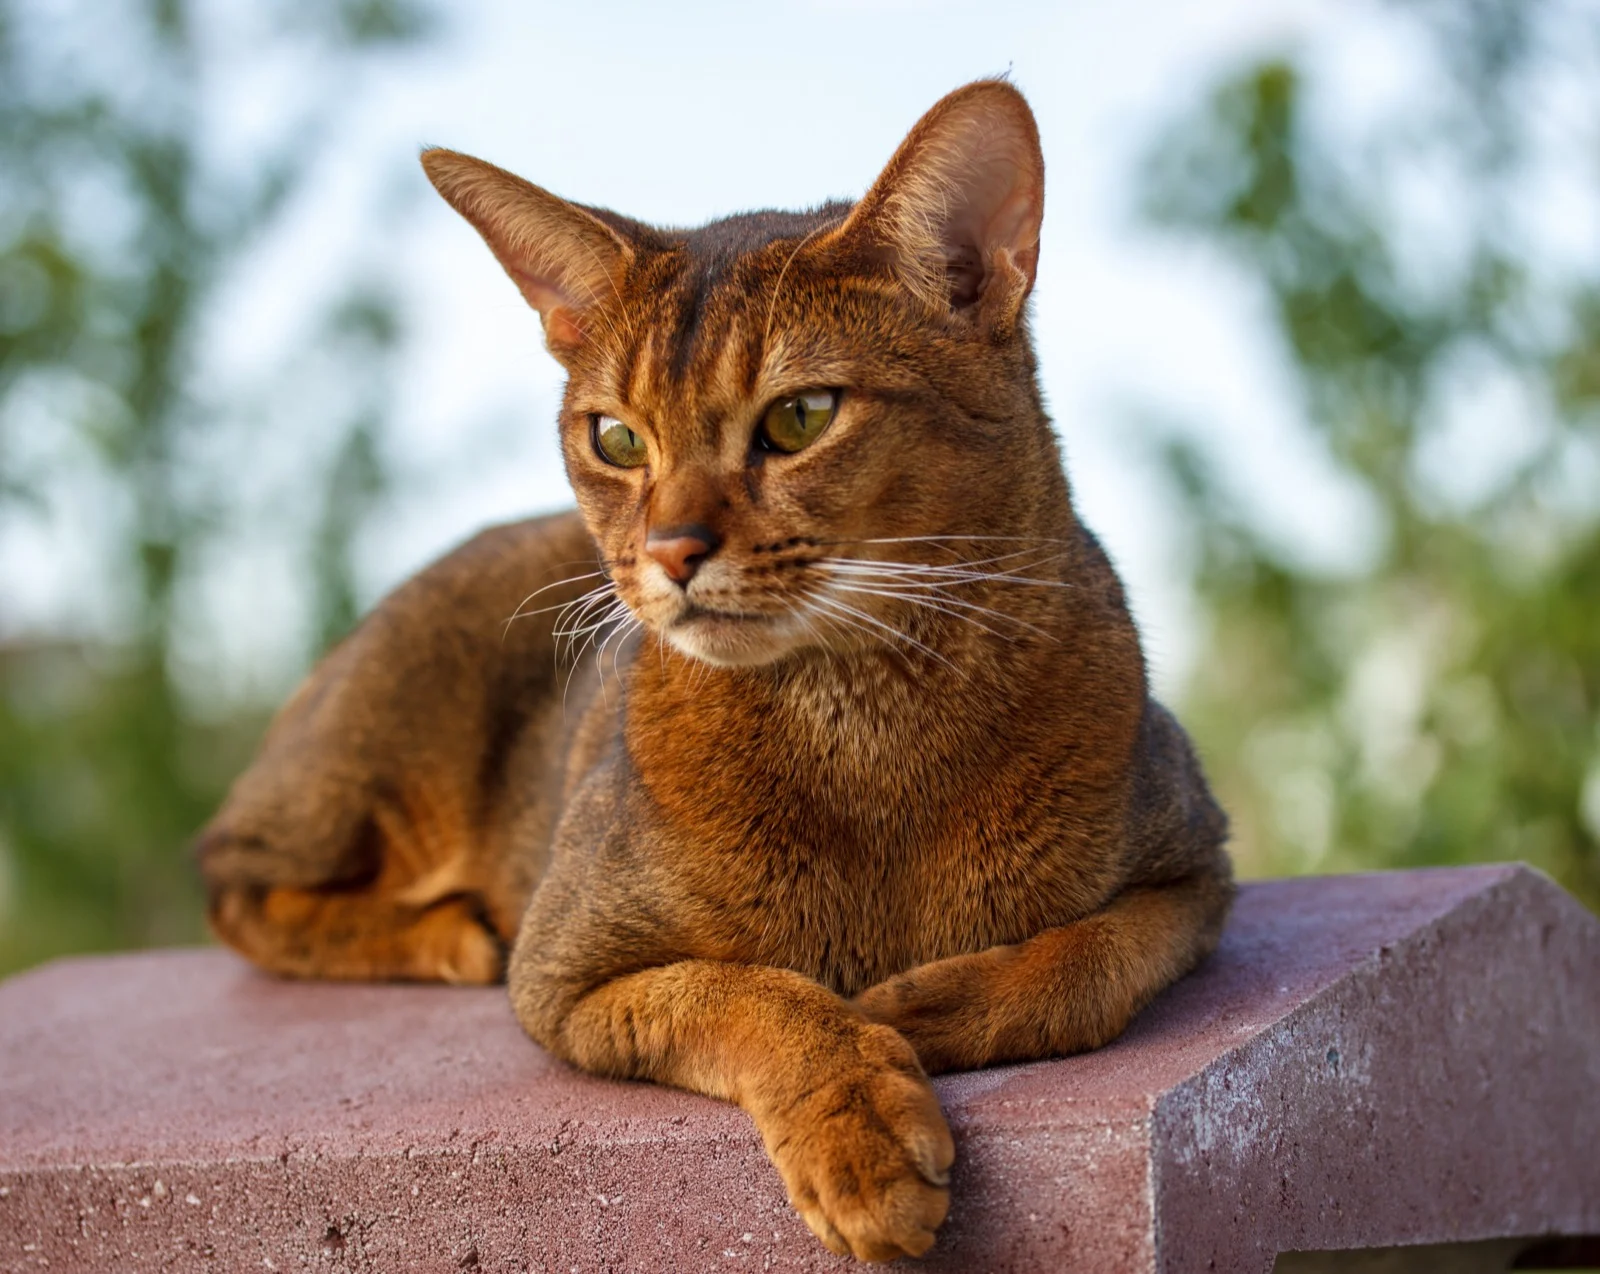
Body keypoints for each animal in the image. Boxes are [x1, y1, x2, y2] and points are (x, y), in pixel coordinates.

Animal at [193, 82, 1228, 1261]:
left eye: (800, 416)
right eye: (615, 437)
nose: (670, 550)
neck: (864, 724)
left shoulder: (1197, 867)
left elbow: (1084, 962)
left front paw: (923, 1007)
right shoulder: (567, 968)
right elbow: (745, 993)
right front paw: (859, 1120)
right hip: (372, 759)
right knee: (229, 876)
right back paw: (445, 932)